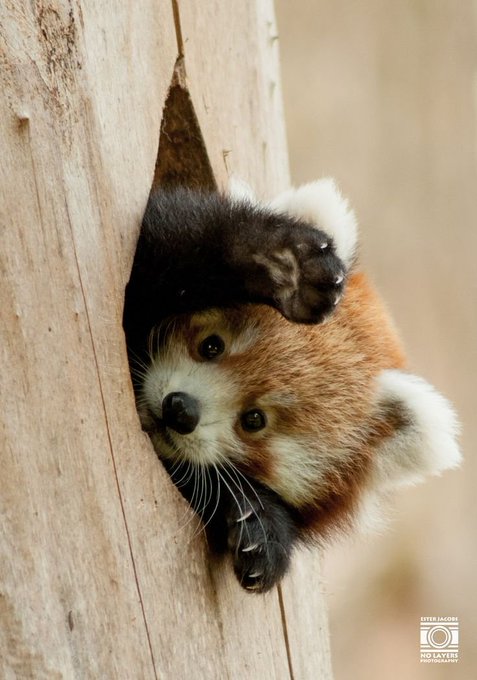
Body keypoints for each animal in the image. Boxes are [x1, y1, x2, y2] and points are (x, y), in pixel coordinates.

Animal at [123, 179, 461, 593]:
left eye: (254, 420)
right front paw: (283, 263)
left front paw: (263, 527)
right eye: (211, 345)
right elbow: (161, 242)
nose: (181, 410)